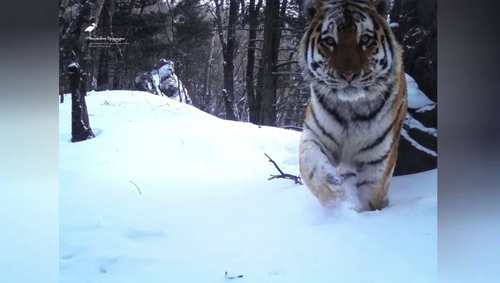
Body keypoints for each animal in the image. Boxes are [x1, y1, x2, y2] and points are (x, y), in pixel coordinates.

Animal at [296, 0, 406, 213]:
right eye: (329, 41)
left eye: (365, 39)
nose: (348, 74)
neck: (351, 109)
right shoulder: (315, 135)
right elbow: (313, 168)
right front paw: (340, 202)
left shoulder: (378, 157)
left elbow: (371, 196)